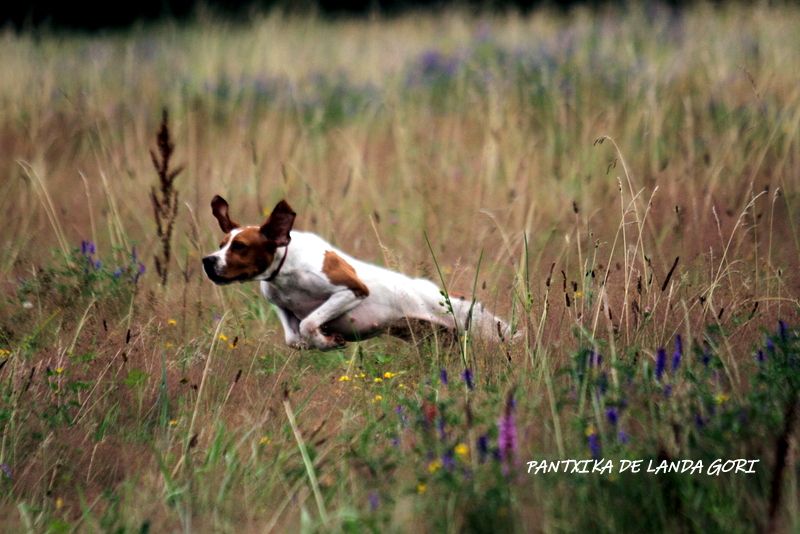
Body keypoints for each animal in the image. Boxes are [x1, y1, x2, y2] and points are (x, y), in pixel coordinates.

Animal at [202, 197, 512, 352]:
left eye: (240, 247)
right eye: (221, 244)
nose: (207, 260)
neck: (285, 269)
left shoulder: (353, 290)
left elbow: (309, 323)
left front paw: (326, 341)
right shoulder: (280, 305)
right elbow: (293, 336)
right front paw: (316, 341)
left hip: (479, 327)